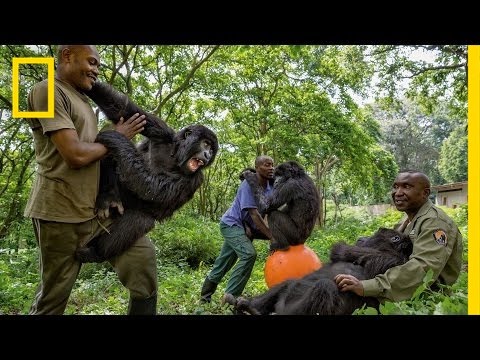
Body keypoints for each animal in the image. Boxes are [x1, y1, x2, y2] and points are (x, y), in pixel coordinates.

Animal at [75, 81, 219, 262]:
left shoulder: (196, 178)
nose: (208, 154)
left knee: (141, 220)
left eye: (212, 149)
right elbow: (126, 111)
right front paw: (89, 83)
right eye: (206, 143)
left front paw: (116, 137)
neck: (177, 156)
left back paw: (96, 252)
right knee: (110, 156)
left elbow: (153, 187)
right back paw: (108, 197)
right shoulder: (163, 132)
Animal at [227, 228, 414, 316]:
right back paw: (250, 306)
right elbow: (340, 252)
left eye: (373, 234)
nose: (361, 237)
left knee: (324, 287)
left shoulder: (392, 259)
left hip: (290, 311)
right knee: (289, 283)